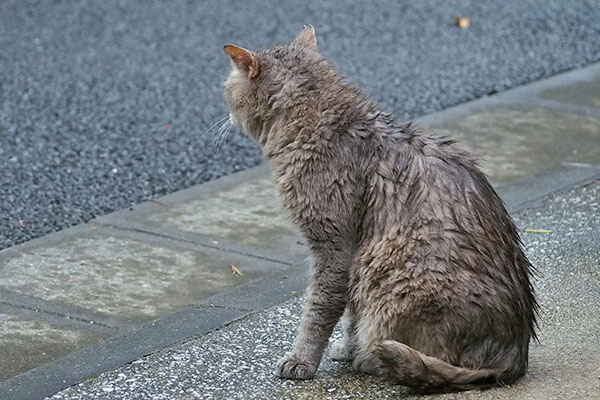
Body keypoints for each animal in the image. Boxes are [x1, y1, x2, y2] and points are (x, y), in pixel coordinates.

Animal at [223, 26, 536, 392]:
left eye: (227, 89)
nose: (226, 114)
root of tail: (513, 357)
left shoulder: (334, 248)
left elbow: (318, 310)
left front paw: (303, 360)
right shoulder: (351, 257)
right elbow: (350, 314)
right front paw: (347, 347)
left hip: (393, 273)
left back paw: (375, 360)